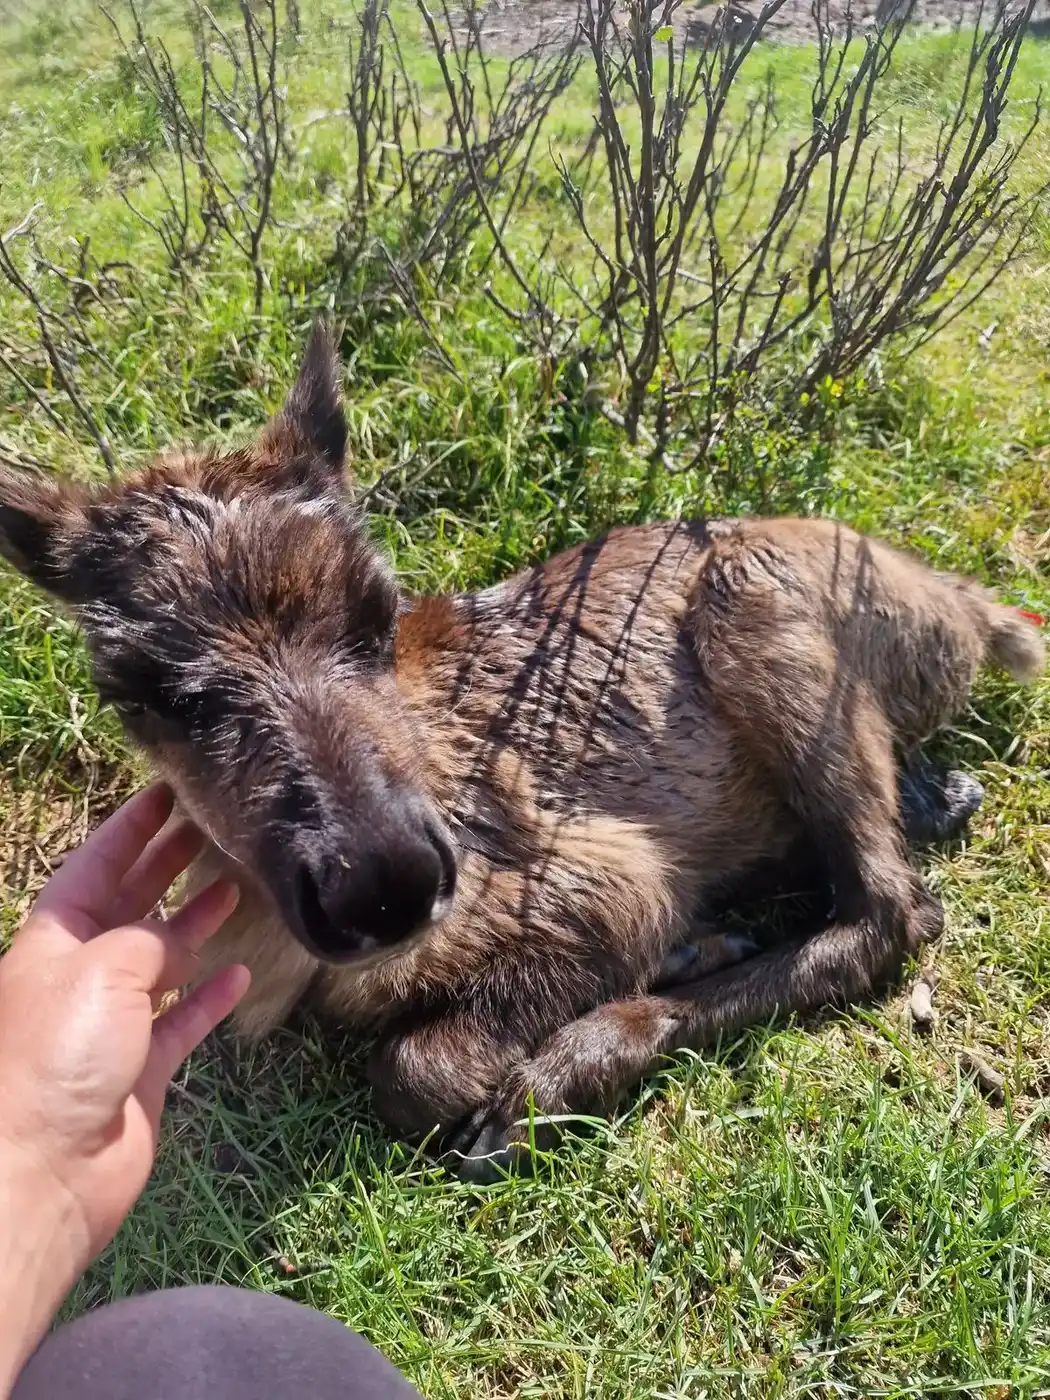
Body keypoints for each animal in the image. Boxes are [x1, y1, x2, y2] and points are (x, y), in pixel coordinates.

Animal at [0, 323, 1042, 1180]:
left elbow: (410, 1070)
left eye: (380, 609)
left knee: (893, 910)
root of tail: (967, 608)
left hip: (757, 606)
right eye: (139, 688)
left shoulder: (604, 877)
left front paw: (531, 1085)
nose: (386, 884)